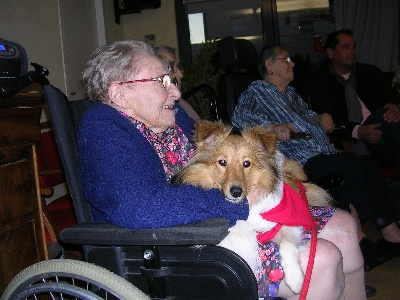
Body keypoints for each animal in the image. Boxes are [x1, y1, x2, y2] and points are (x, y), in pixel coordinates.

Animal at [172, 120, 332, 294]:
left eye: (246, 164)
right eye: (222, 162)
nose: (236, 192)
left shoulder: (286, 222)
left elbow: (287, 244)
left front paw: (296, 280)